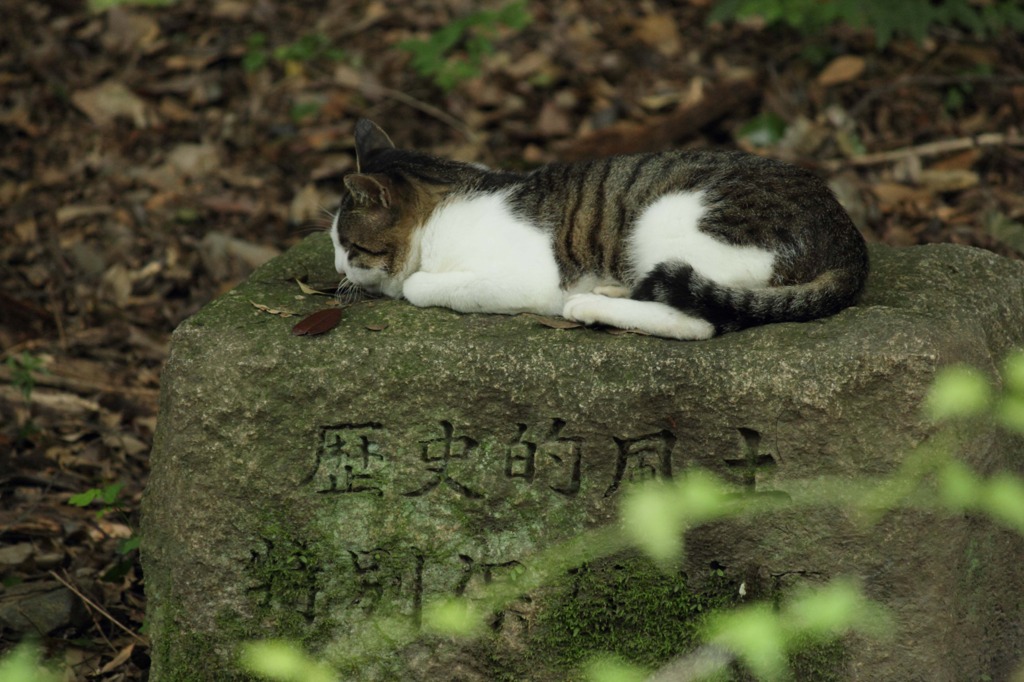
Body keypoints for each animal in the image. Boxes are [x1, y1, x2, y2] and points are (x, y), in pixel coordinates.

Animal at [329, 119, 872, 339]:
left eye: (348, 247)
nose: (335, 268)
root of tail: (849, 241)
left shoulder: (527, 278)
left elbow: (418, 286)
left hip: (670, 219)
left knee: (697, 320)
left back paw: (590, 306)